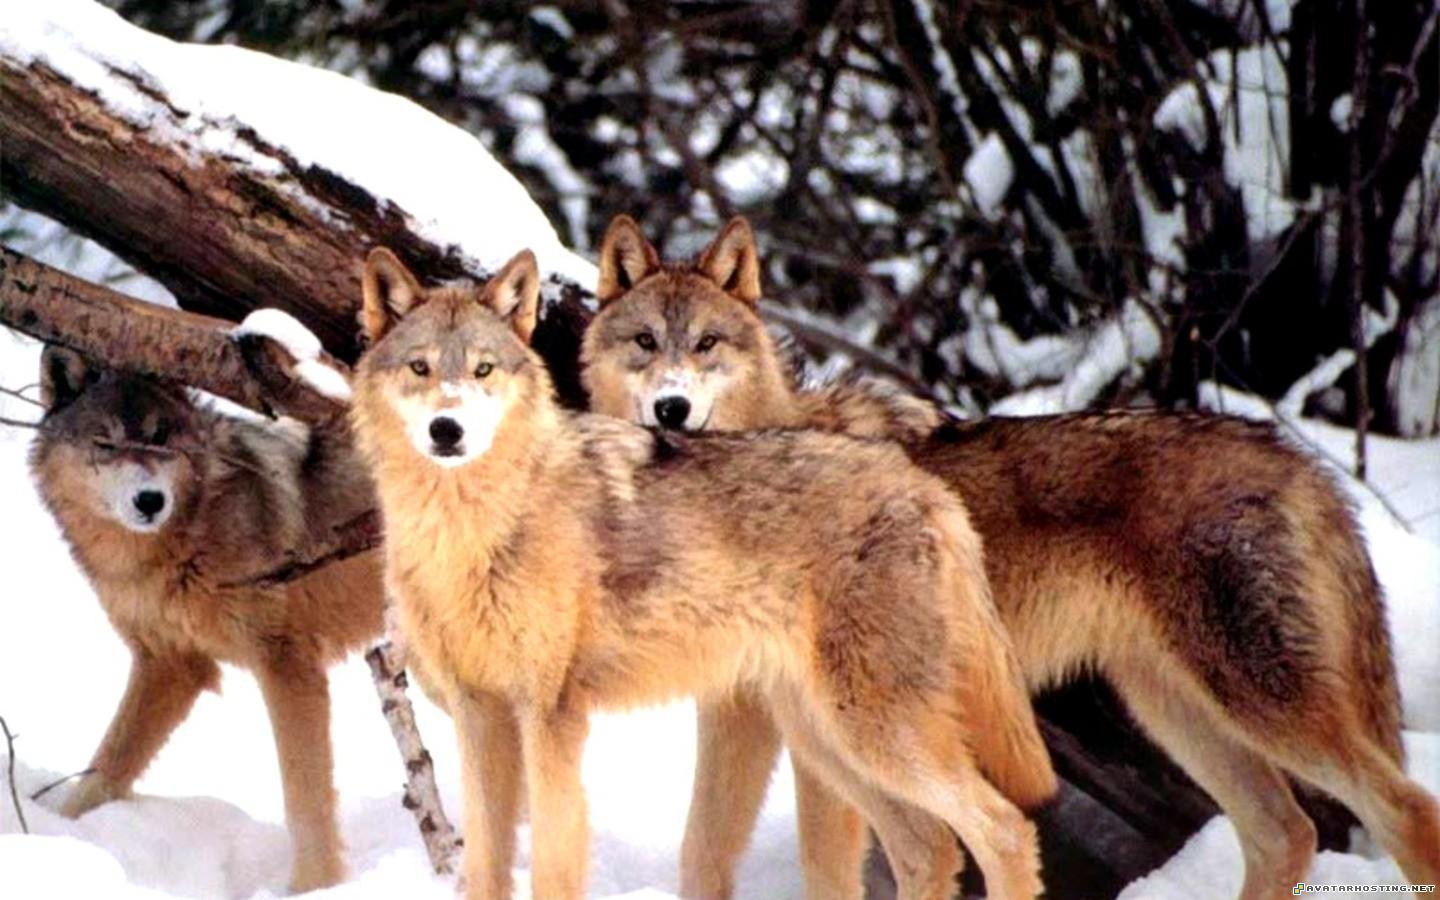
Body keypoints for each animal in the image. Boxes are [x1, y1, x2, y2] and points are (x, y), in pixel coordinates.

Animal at [29, 346, 385, 893]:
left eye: (160, 437)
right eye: (105, 443)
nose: (150, 500)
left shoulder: (287, 665)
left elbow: (304, 797)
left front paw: (314, 887)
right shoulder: (169, 666)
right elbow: (104, 769)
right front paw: (62, 835)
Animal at [348, 246, 1057, 900]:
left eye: (482, 370)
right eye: (420, 367)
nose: (448, 428)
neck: (471, 532)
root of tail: (925, 486)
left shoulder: (550, 719)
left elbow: (552, 864)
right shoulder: (479, 717)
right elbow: (485, 870)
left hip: (874, 732)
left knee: (1004, 829)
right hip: (825, 738)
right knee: (929, 846)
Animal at [580, 215, 1440, 900]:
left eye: (707, 344)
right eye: (645, 343)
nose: (672, 408)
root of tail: (1294, 457)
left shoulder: (802, 739)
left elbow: (833, 868)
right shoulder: (748, 716)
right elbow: (704, 855)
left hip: (1255, 703)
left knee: (1405, 810)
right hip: (1175, 712)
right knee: (1286, 833)